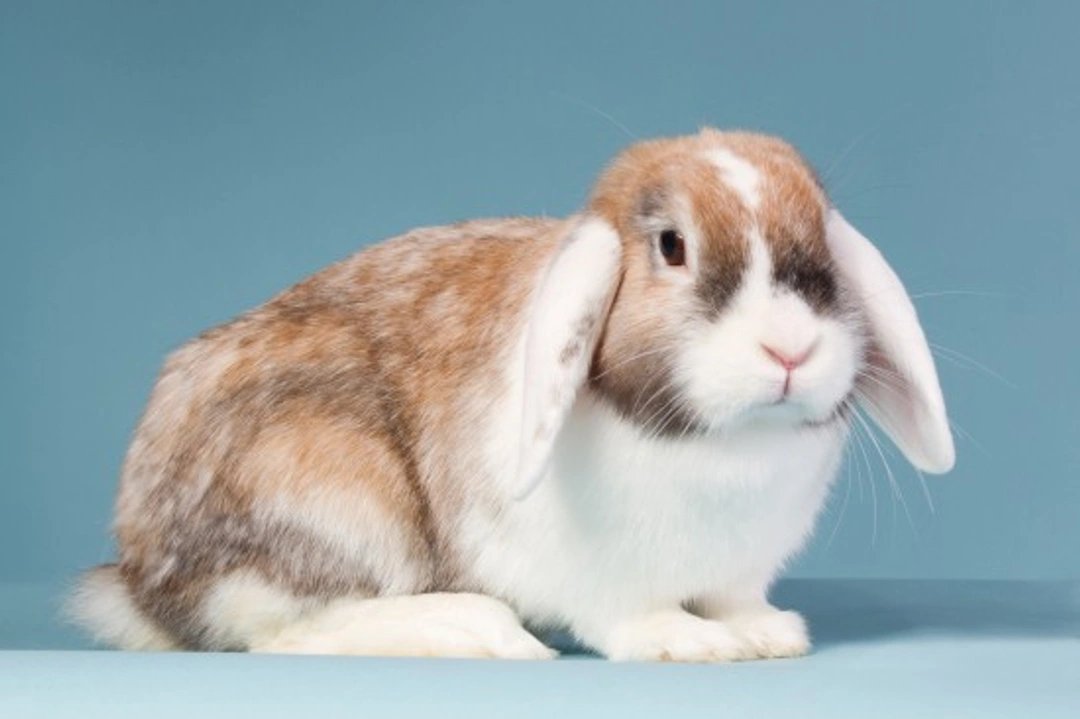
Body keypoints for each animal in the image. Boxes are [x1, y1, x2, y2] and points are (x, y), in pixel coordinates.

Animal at [68, 128, 954, 661]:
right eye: (673, 246)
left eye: (823, 251)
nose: (791, 348)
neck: (721, 446)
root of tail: (139, 579)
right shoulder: (604, 576)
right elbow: (632, 614)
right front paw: (691, 643)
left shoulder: (738, 570)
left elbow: (738, 599)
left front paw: (767, 634)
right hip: (335, 490)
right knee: (283, 629)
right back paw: (471, 627)